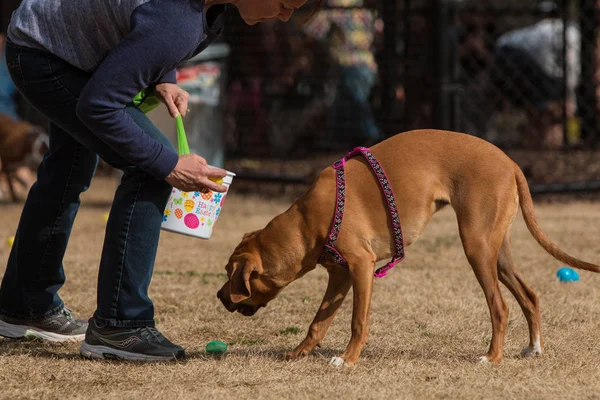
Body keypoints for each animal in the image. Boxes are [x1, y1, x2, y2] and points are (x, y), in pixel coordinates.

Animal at [217, 130, 600, 366]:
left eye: (228, 274)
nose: (219, 297)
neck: (306, 220)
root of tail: (512, 163)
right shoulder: (340, 276)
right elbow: (318, 323)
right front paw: (298, 354)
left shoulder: (361, 266)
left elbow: (358, 321)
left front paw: (348, 360)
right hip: (498, 252)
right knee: (530, 296)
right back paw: (534, 348)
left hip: (476, 247)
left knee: (500, 306)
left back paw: (492, 357)